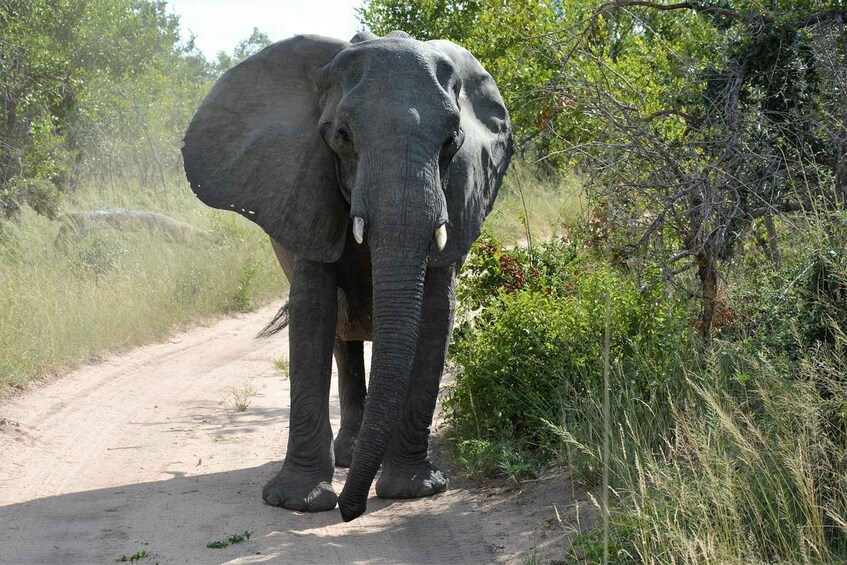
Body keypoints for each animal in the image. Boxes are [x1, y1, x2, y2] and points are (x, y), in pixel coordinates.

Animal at [181, 30, 513, 522]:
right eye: (341, 135)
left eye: (452, 140)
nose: (348, 512)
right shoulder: (303, 192)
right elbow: (312, 311)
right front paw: (296, 503)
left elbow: (437, 313)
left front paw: (414, 491)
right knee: (342, 336)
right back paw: (348, 459)